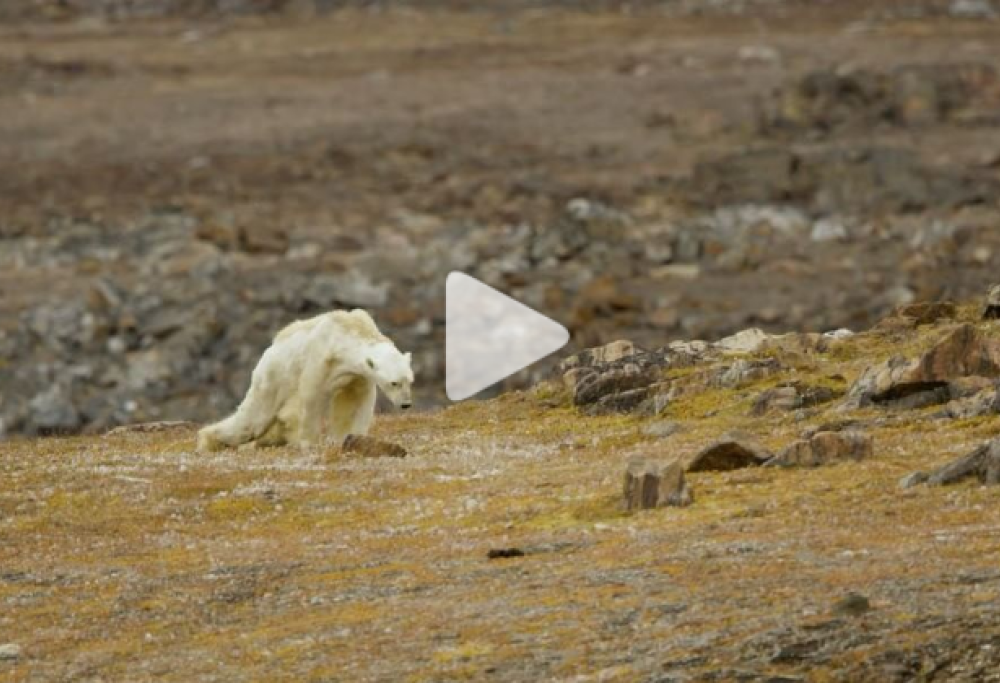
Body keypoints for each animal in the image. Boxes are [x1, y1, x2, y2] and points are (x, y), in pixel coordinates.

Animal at [197, 309, 413, 452]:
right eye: (394, 383)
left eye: (409, 381)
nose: (405, 404)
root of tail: (269, 350)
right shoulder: (321, 359)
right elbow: (311, 397)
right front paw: (308, 442)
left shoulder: (357, 375)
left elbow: (354, 402)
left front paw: (351, 437)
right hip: (273, 378)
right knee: (251, 421)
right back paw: (209, 440)